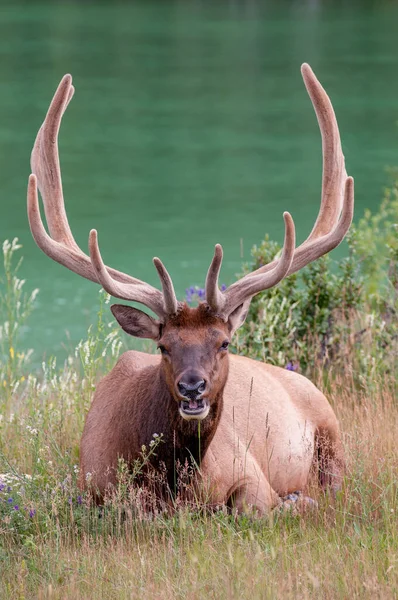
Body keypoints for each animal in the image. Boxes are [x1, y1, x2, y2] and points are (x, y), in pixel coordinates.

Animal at [26, 65, 352, 516]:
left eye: (224, 343)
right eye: (164, 346)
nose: (193, 387)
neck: (176, 486)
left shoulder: (252, 474)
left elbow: (255, 508)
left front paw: (295, 501)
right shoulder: (95, 490)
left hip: (331, 430)